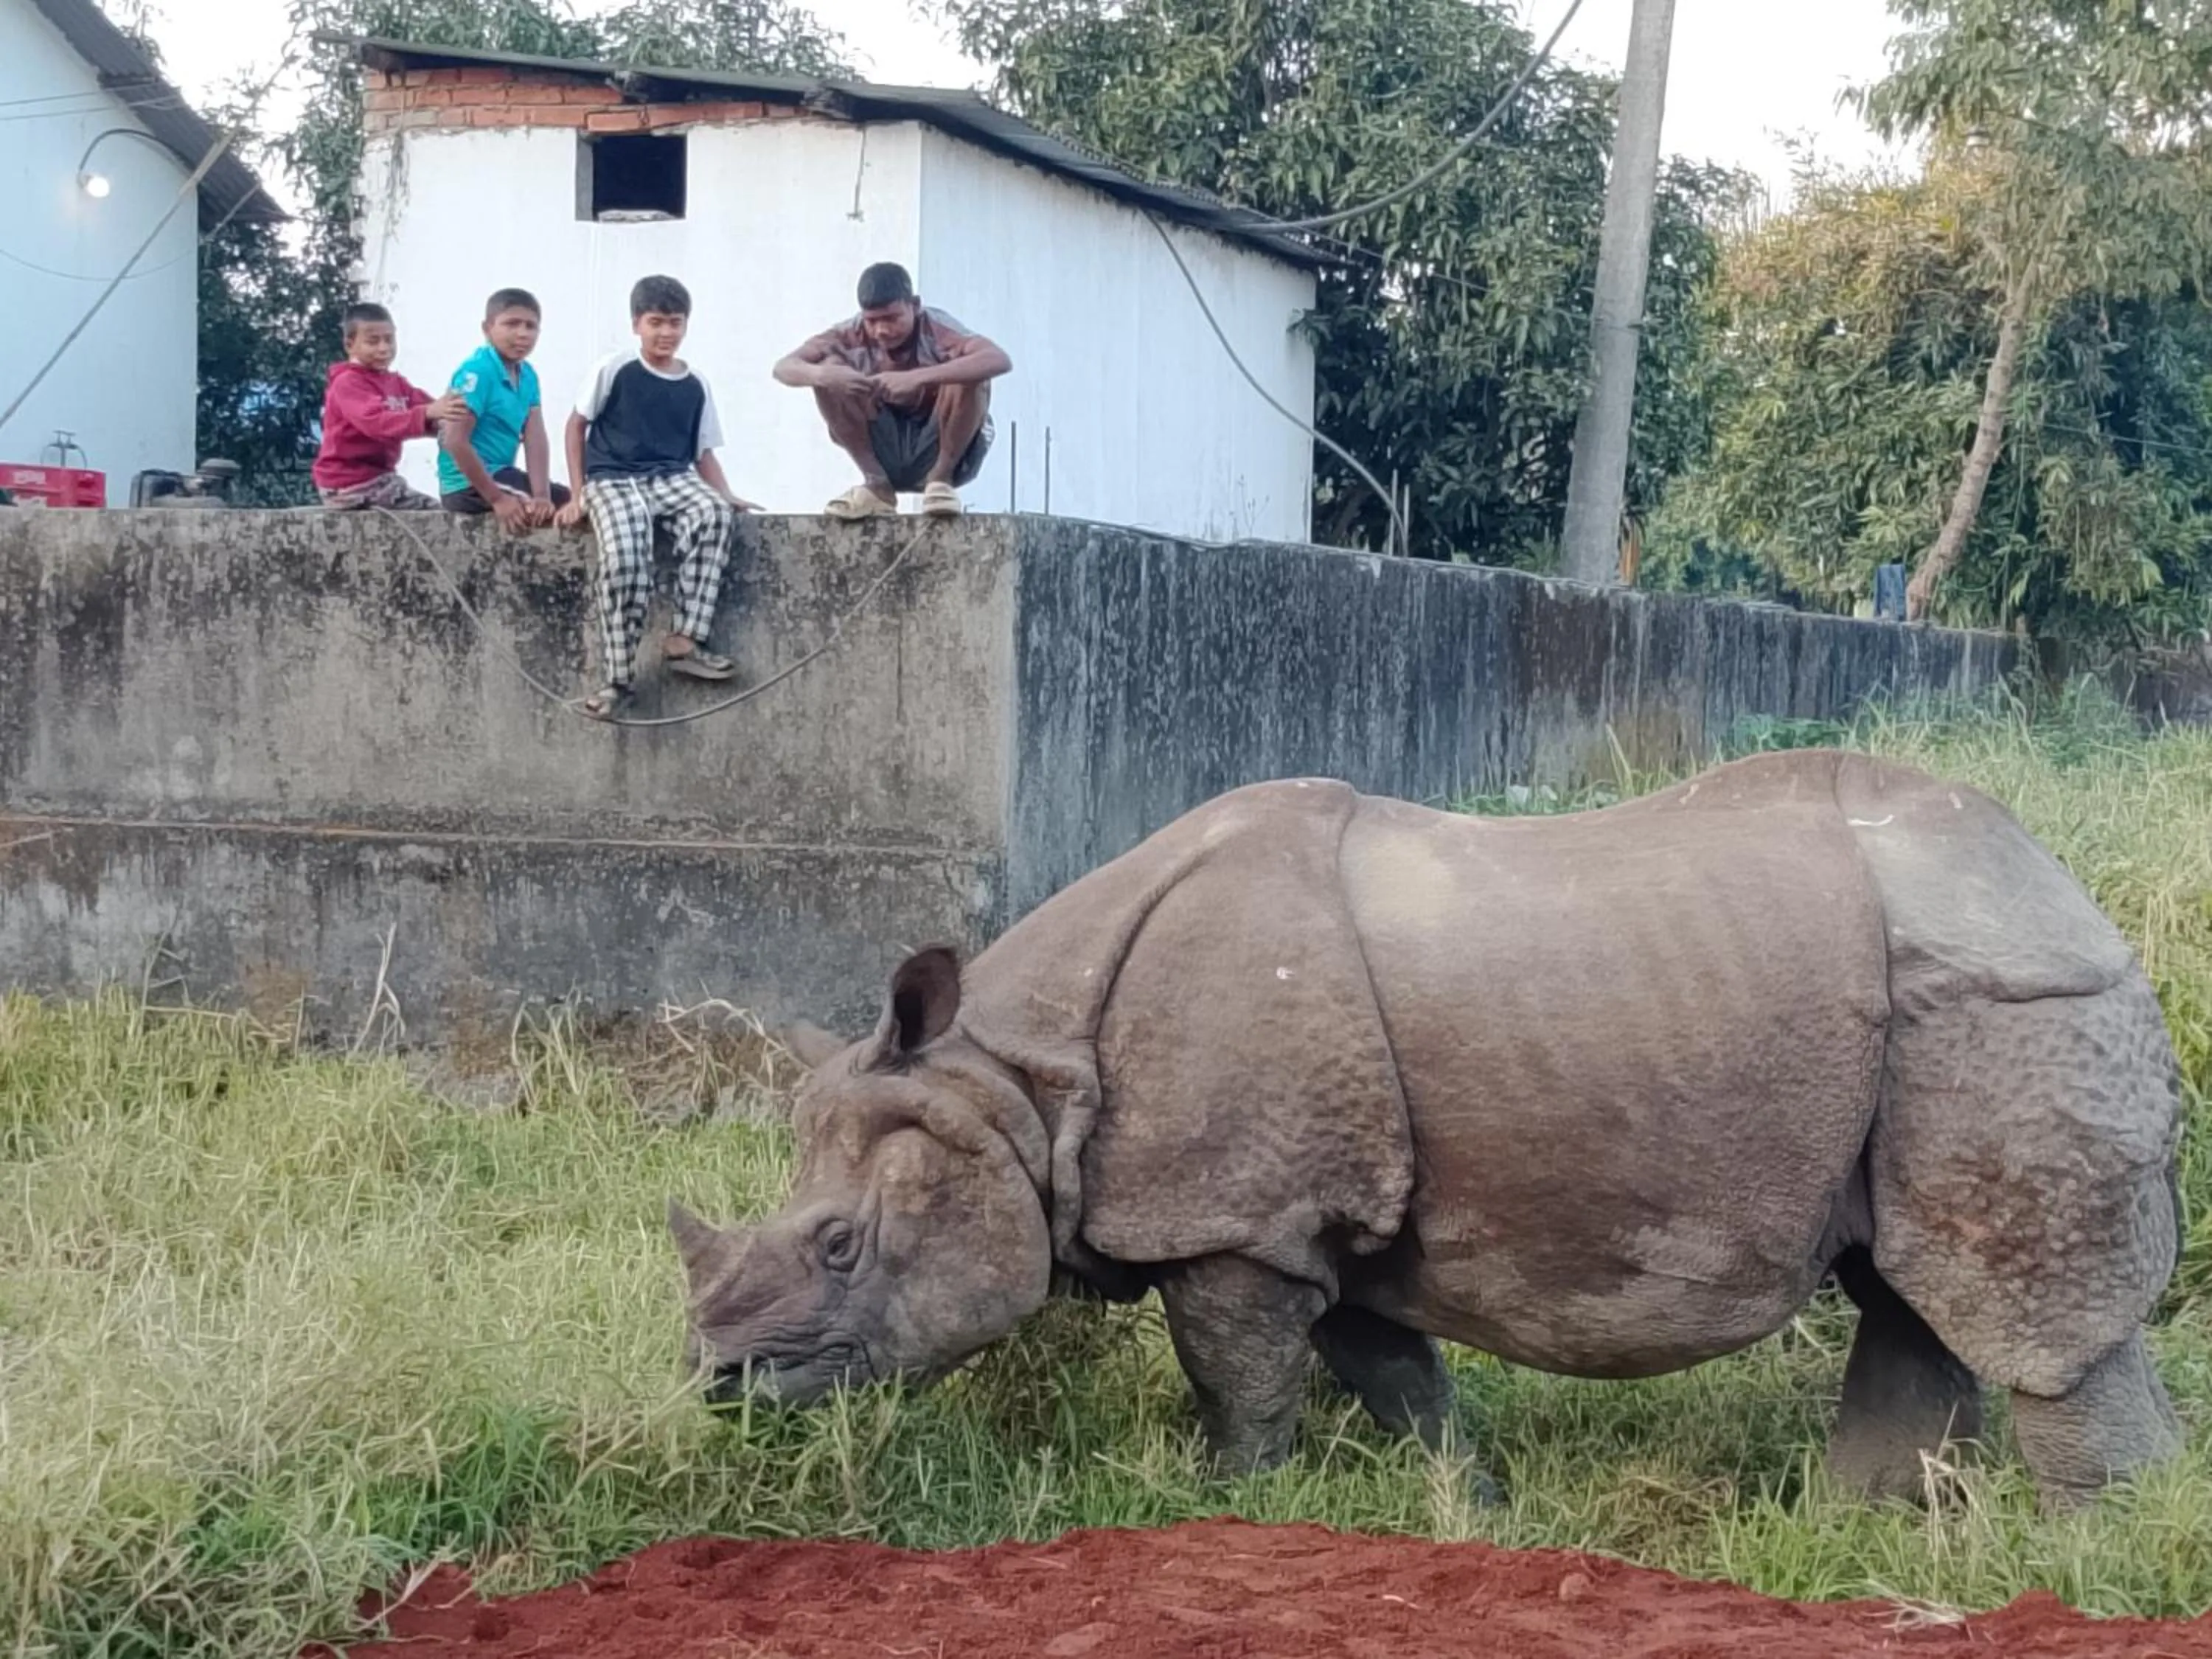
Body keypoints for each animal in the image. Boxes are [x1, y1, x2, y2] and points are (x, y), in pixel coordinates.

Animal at [669, 750, 2186, 1507]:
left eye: (841, 1246)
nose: (718, 1388)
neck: (1017, 1083)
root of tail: (2058, 884)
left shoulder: (1240, 1216)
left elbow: (1239, 1373)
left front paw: (1227, 1501)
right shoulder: (1317, 1211)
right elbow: (1392, 1373)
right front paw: (1475, 1503)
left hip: (2003, 1007)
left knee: (2023, 1313)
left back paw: (2097, 1552)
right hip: (1935, 1002)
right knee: (1910, 1288)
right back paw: (1857, 1525)